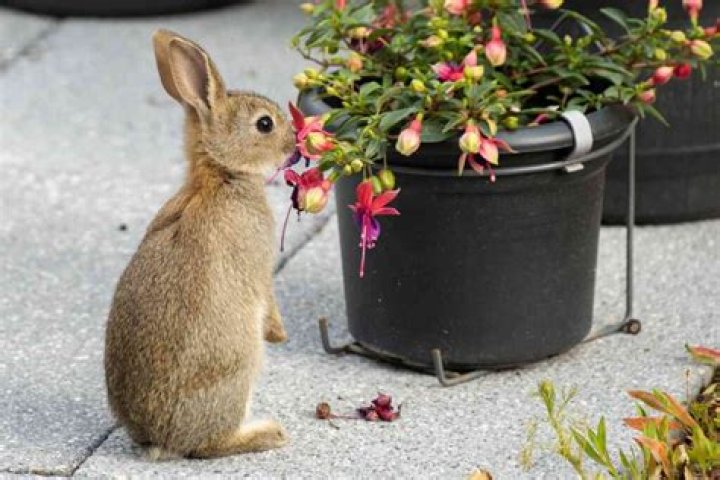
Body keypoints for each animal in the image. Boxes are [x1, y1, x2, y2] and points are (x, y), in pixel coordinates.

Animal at [104, 29, 295, 459]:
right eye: (264, 124)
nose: (293, 144)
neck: (221, 173)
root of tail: (161, 438)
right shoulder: (259, 262)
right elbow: (267, 294)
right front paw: (279, 334)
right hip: (238, 369)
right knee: (209, 445)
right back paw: (270, 433)